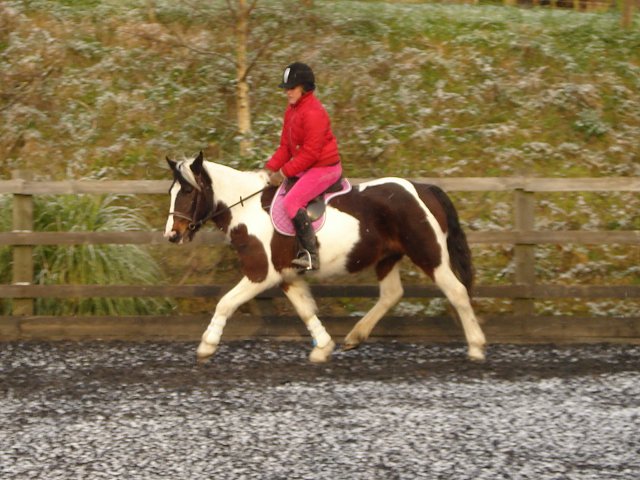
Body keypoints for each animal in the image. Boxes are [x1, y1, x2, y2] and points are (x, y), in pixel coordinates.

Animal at [164, 151, 486, 363]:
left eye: (189, 191)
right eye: (172, 190)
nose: (172, 235)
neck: (247, 209)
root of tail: (422, 188)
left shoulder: (260, 273)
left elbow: (225, 303)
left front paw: (206, 346)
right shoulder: (286, 275)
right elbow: (306, 310)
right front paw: (323, 348)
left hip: (429, 253)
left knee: (457, 292)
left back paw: (476, 347)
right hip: (388, 256)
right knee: (392, 294)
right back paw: (355, 337)